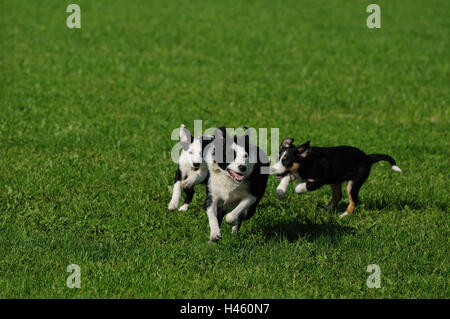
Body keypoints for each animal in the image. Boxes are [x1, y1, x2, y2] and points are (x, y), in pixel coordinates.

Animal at [268, 139, 402, 219]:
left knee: (353, 201)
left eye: (286, 161)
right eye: (278, 158)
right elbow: (286, 177)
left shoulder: (319, 180)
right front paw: (280, 191)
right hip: (335, 180)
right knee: (338, 196)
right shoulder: (295, 173)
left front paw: (297, 187)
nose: (272, 170)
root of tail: (368, 158)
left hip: (353, 183)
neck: (306, 161)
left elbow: (304, 185)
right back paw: (325, 209)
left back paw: (343, 215)